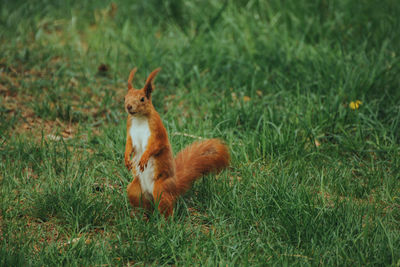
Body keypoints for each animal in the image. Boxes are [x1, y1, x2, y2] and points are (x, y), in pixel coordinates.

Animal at [124, 67, 231, 218]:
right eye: (124, 97)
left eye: (142, 99)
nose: (128, 106)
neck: (139, 119)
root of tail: (174, 186)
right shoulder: (130, 130)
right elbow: (129, 145)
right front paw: (126, 159)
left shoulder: (157, 131)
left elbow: (156, 146)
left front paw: (144, 157)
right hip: (134, 189)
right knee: (146, 205)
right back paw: (142, 216)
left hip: (161, 189)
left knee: (166, 208)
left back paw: (164, 222)